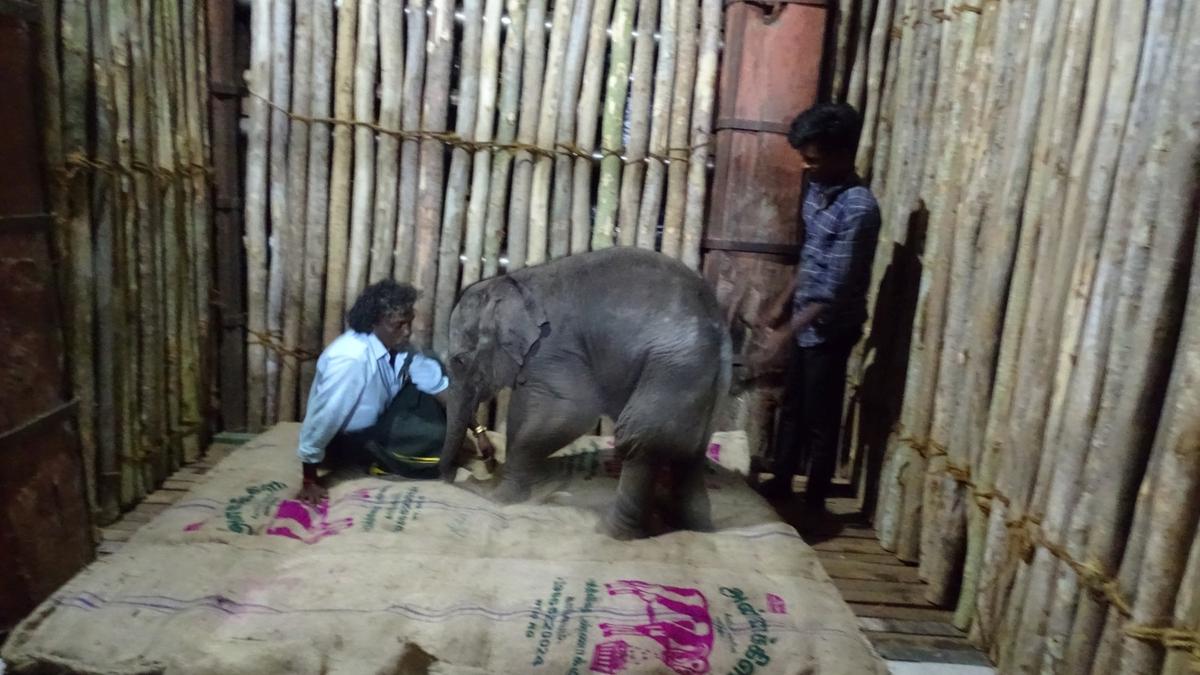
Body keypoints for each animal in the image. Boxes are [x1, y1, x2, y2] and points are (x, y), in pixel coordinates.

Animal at [438, 247, 732, 539]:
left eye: (459, 361)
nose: (484, 458)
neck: (514, 280)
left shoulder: (553, 347)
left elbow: (569, 412)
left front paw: (495, 497)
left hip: (675, 367)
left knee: (639, 439)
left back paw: (609, 531)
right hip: (704, 382)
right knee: (689, 451)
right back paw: (695, 528)